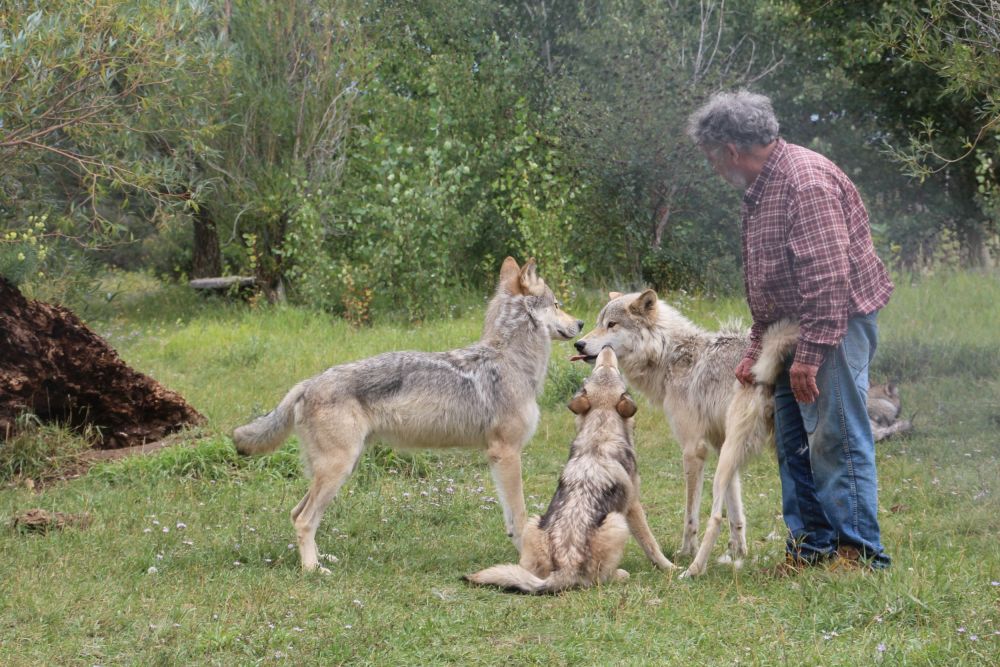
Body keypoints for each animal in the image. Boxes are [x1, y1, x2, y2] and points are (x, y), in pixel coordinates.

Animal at [232, 258, 582, 573]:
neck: (510, 360)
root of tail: (307, 383)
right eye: (557, 304)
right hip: (338, 469)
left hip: (342, 467)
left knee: (296, 513)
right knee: (304, 519)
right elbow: (521, 515)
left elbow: (511, 518)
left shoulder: (497, 456)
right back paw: (312, 570)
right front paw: (529, 563)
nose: (580, 325)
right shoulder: (507, 453)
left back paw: (322, 559)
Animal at [465, 347, 676, 593]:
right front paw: (669, 567)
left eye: (603, 368)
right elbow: (650, 543)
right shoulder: (633, 506)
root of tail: (564, 569)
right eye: (610, 370)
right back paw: (621, 574)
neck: (600, 427)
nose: (606, 348)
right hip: (617, 522)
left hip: (534, 522)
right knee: (601, 578)